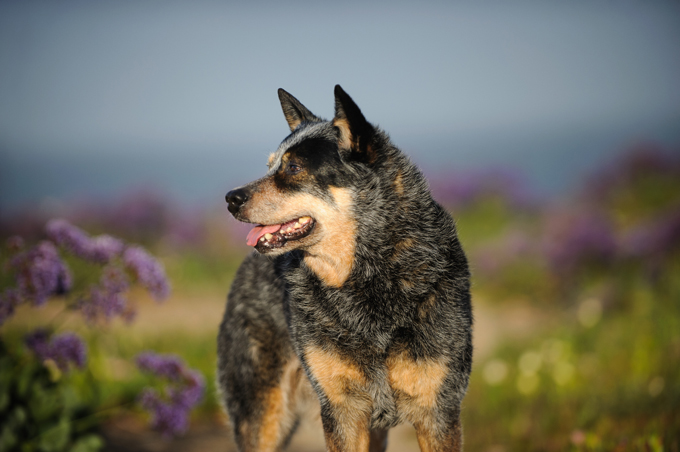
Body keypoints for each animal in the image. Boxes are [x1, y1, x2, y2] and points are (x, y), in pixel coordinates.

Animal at [219, 85, 472, 452]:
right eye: (270, 165)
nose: (230, 198)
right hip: (262, 416)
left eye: (293, 167)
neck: (368, 278)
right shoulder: (342, 411)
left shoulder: (437, 410)